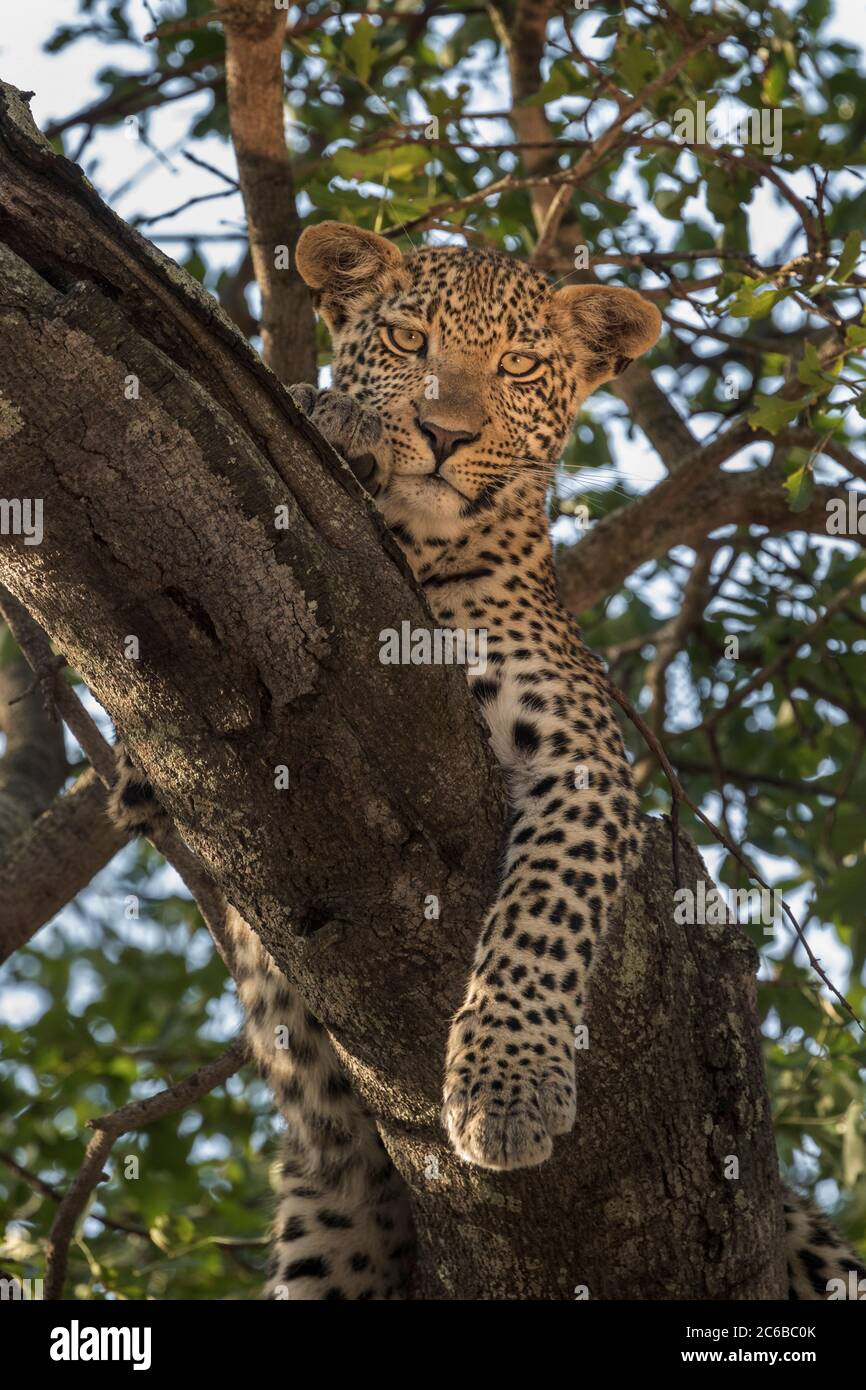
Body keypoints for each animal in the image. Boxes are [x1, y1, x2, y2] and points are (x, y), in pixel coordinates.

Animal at [111, 219, 861, 1301]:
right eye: (410, 339)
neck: (419, 558)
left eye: (516, 367)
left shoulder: (583, 756)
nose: (444, 435)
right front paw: (335, 420)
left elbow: (539, 917)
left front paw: (507, 1089)